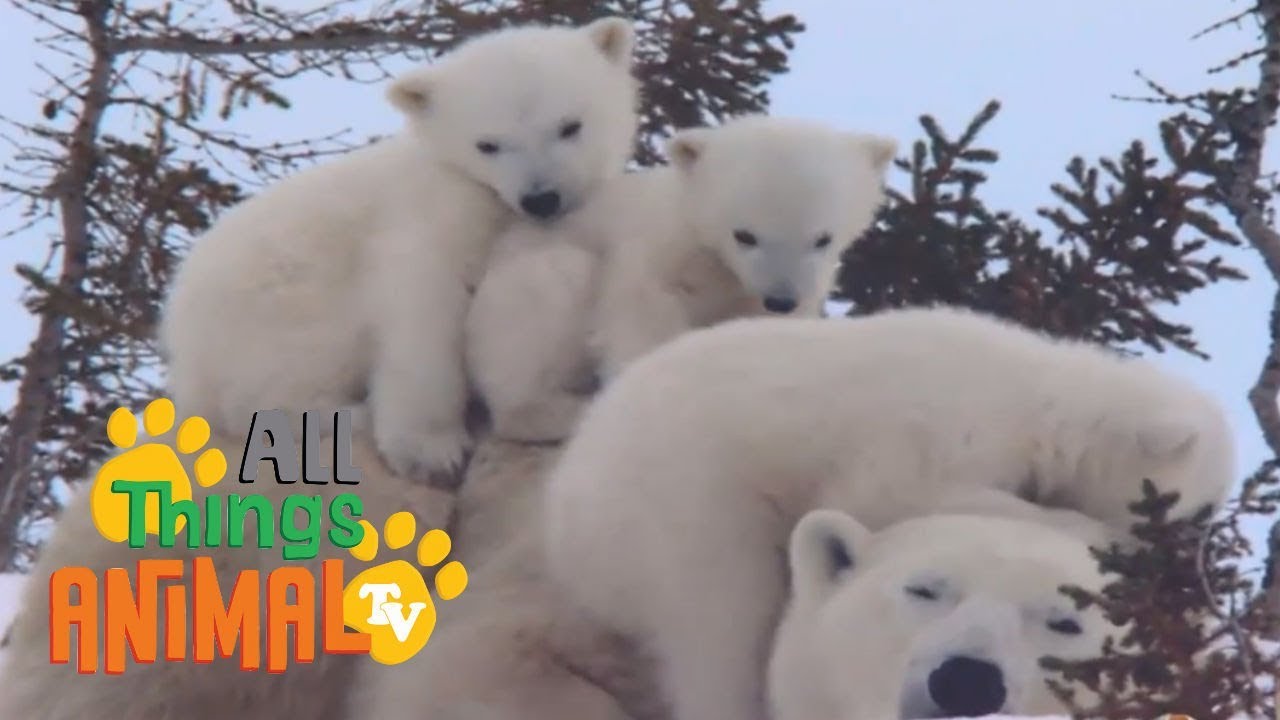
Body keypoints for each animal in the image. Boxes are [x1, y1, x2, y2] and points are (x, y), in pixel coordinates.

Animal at [159, 17, 639, 484]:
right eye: (487, 144)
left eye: (570, 126)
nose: (541, 199)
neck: (480, 192)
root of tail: (185, 355)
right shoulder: (421, 219)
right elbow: (421, 312)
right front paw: (431, 451)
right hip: (277, 310)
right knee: (261, 391)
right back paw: (344, 413)